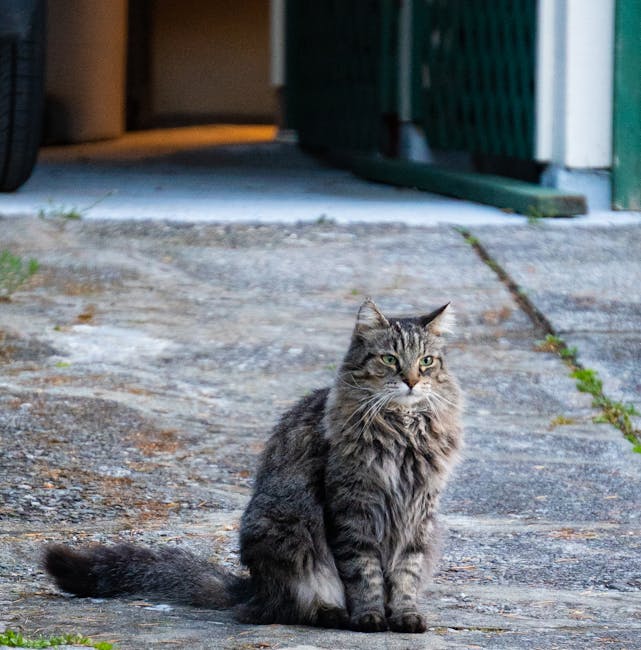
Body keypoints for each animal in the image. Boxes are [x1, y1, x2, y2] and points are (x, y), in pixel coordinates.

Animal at [45, 298, 462, 632]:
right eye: (389, 360)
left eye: (426, 362)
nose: (411, 381)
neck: (402, 431)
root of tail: (254, 587)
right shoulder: (353, 510)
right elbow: (364, 574)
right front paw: (370, 617)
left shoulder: (419, 515)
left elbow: (406, 574)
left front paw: (404, 616)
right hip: (287, 531)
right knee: (290, 606)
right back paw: (332, 614)